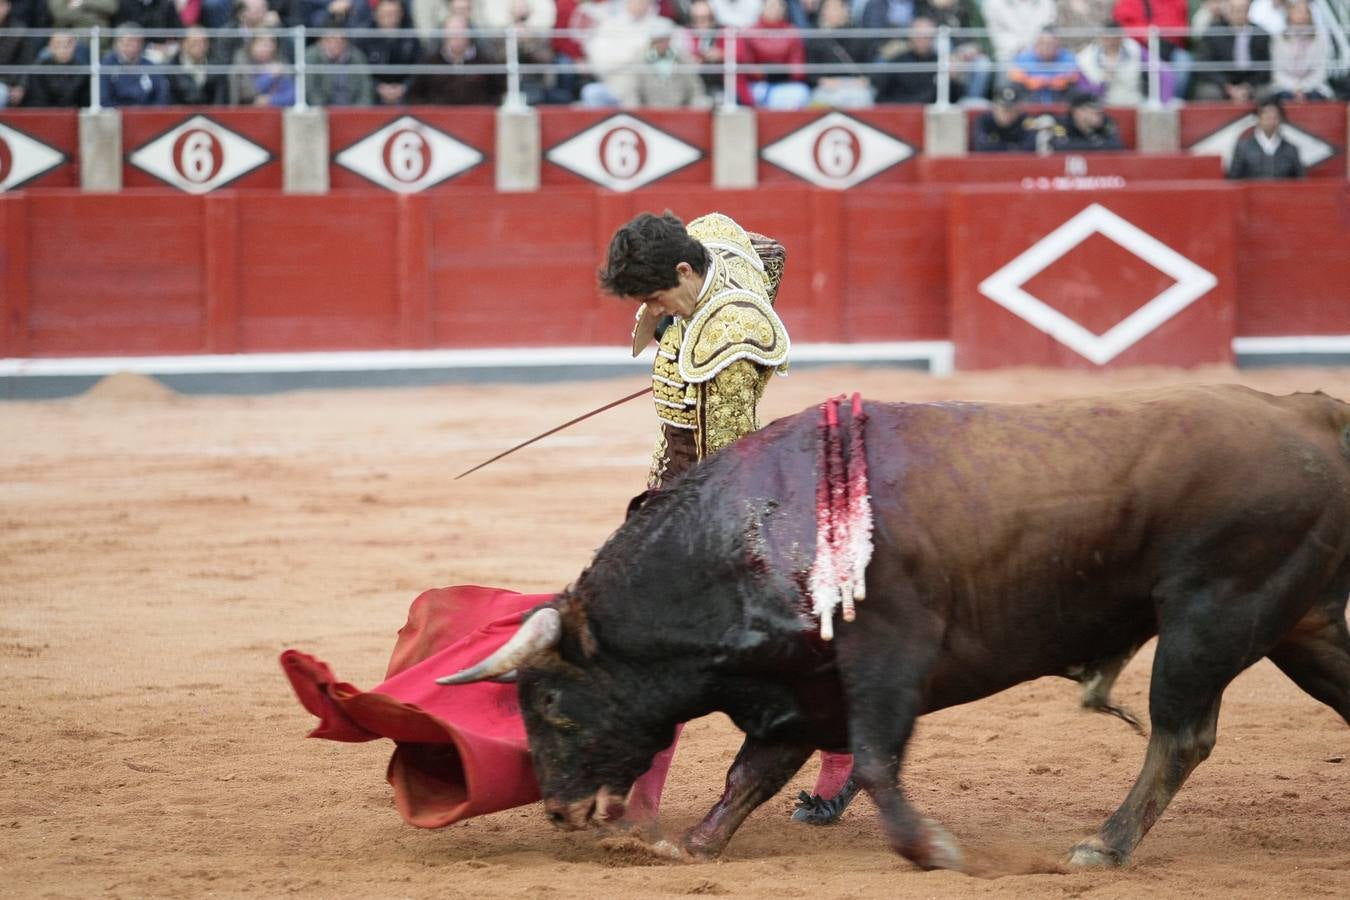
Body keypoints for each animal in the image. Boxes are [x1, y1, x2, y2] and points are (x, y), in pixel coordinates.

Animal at [437, 388, 1344, 874]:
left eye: (550, 705)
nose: (559, 810)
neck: (747, 534)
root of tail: (1308, 413)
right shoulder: (799, 691)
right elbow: (750, 772)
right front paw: (692, 846)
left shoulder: (885, 657)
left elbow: (874, 762)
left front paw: (930, 850)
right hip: (1300, 624)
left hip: (1211, 615)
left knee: (1180, 735)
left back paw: (1102, 847)